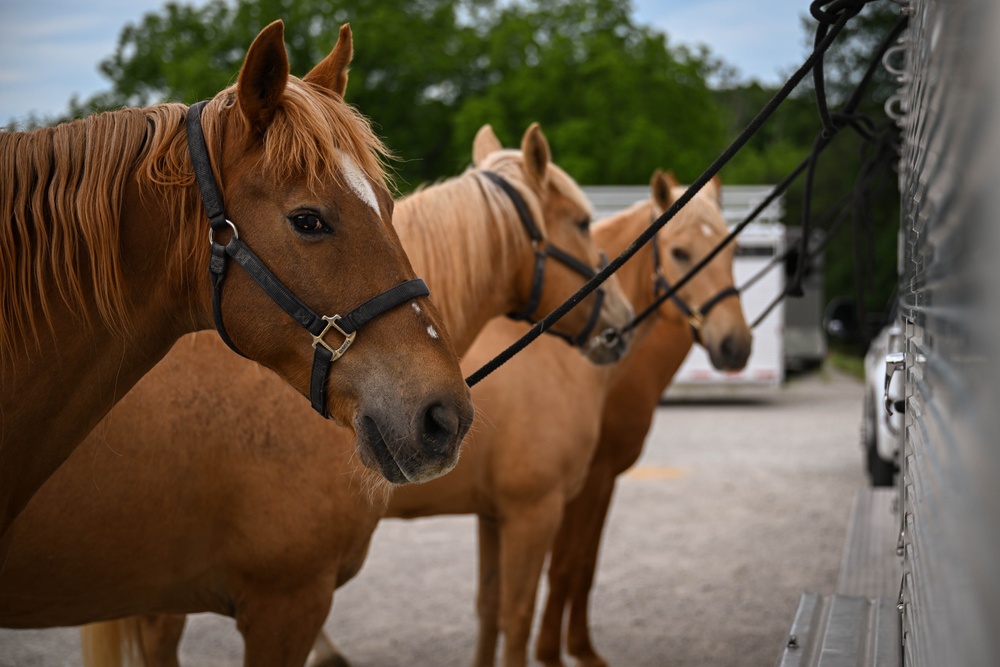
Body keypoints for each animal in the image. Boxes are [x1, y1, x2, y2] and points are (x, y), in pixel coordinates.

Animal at [376, 171, 752, 667]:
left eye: (733, 250)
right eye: (679, 252)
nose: (735, 344)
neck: (551, 359)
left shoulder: (496, 514)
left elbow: (491, 607)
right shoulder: (549, 504)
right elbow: (560, 577)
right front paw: (566, 651)